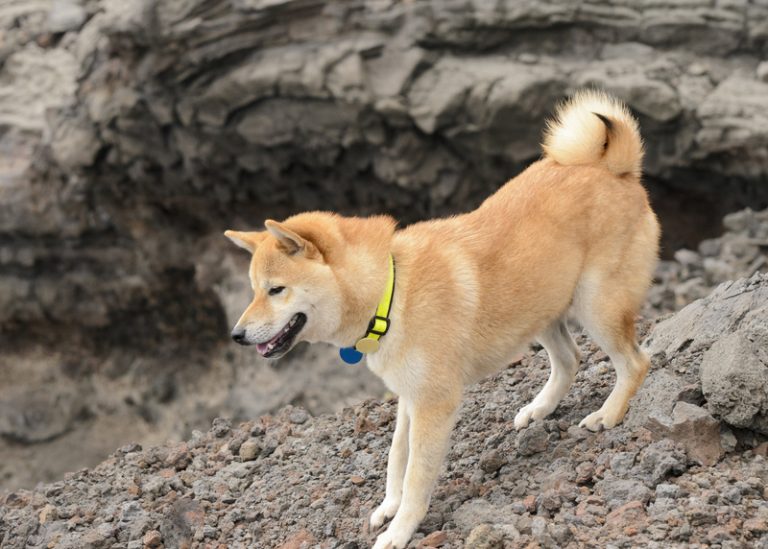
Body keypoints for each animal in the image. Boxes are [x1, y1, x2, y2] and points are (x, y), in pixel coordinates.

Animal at [225, 90, 660, 549]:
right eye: (254, 289)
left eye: (276, 290)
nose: (236, 335)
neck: (391, 292)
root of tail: (614, 167)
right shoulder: (409, 396)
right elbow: (397, 457)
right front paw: (389, 506)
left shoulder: (434, 403)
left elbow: (417, 475)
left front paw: (400, 530)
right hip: (541, 309)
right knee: (570, 360)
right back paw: (539, 409)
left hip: (597, 306)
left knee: (635, 362)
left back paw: (607, 415)